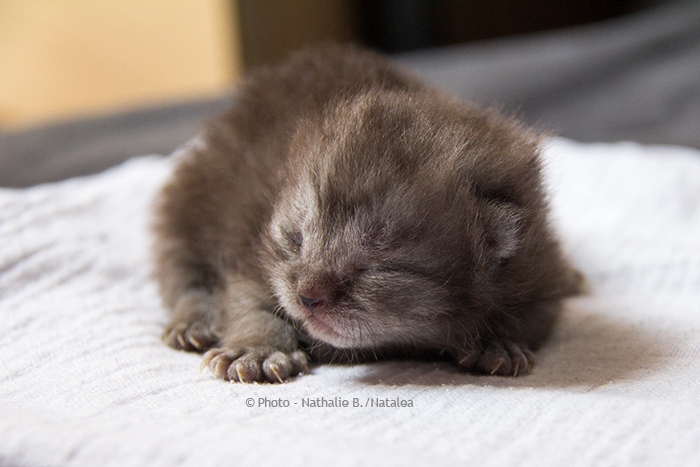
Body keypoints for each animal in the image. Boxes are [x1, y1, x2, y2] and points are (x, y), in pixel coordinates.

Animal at [152, 44, 580, 384]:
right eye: (295, 241)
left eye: (375, 265)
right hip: (194, 192)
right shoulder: (252, 242)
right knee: (180, 265)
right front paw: (256, 348)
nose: (307, 296)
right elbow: (247, 300)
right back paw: (195, 320)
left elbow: (532, 315)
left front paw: (498, 341)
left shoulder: (536, 265)